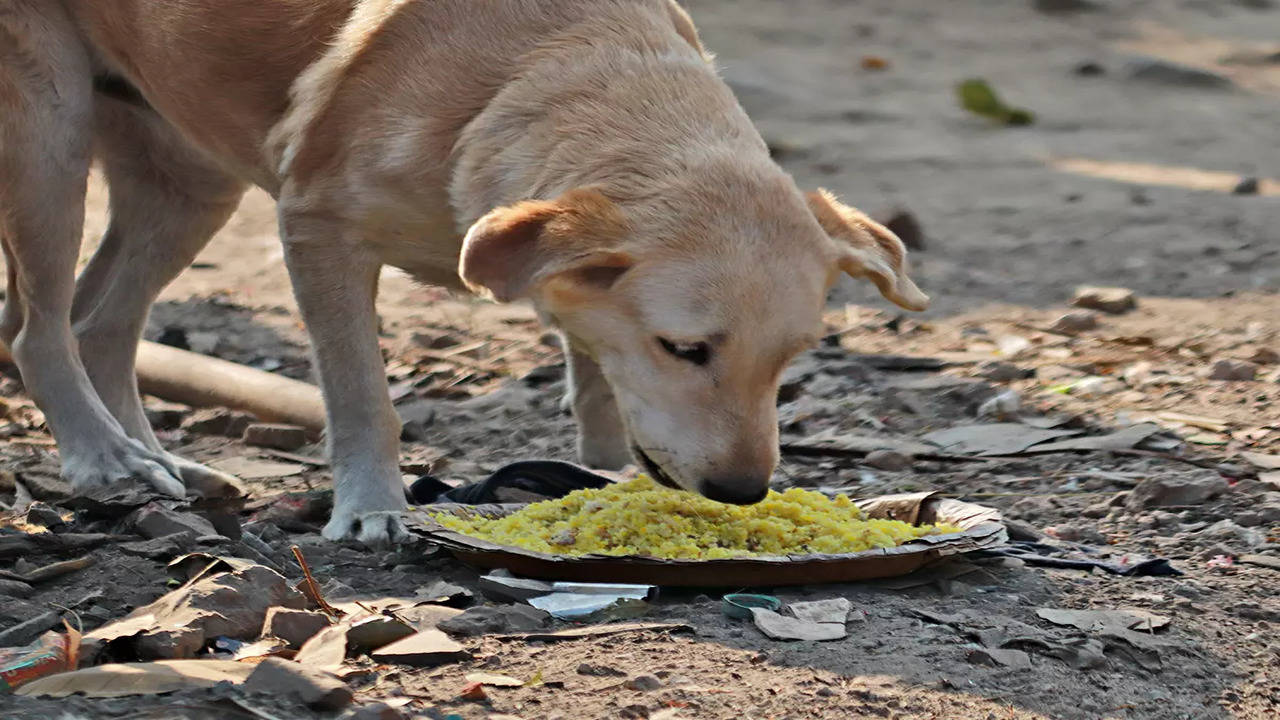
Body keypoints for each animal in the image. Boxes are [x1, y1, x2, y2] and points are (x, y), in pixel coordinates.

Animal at [0, 0, 926, 540]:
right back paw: (105, 458)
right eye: (685, 350)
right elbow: (363, 398)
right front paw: (374, 507)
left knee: (98, 324)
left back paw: (159, 463)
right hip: (48, 133)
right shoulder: (316, 230)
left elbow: (595, 372)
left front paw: (601, 467)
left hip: (189, 180)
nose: (742, 492)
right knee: (38, 331)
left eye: (790, 364)